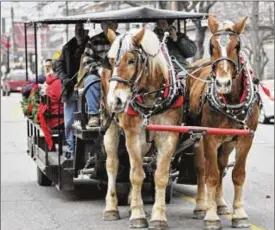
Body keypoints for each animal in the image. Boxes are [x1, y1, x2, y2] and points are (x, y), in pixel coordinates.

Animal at [101, 27, 183, 229]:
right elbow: (136, 174)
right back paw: (111, 208)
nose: (115, 100)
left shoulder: (168, 137)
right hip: (110, 126)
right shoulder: (132, 135)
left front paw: (158, 216)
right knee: (112, 165)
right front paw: (137, 215)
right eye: (112, 60)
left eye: (132, 60)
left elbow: (160, 175)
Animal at [189, 15, 262, 229]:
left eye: (237, 46)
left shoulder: (245, 139)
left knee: (221, 165)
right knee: (202, 168)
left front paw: (239, 214)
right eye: (211, 46)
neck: (231, 101)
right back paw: (201, 206)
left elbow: (237, 174)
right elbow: (211, 176)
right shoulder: (210, 139)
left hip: (228, 142)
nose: (222, 84)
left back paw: (220, 203)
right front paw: (211, 216)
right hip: (197, 137)